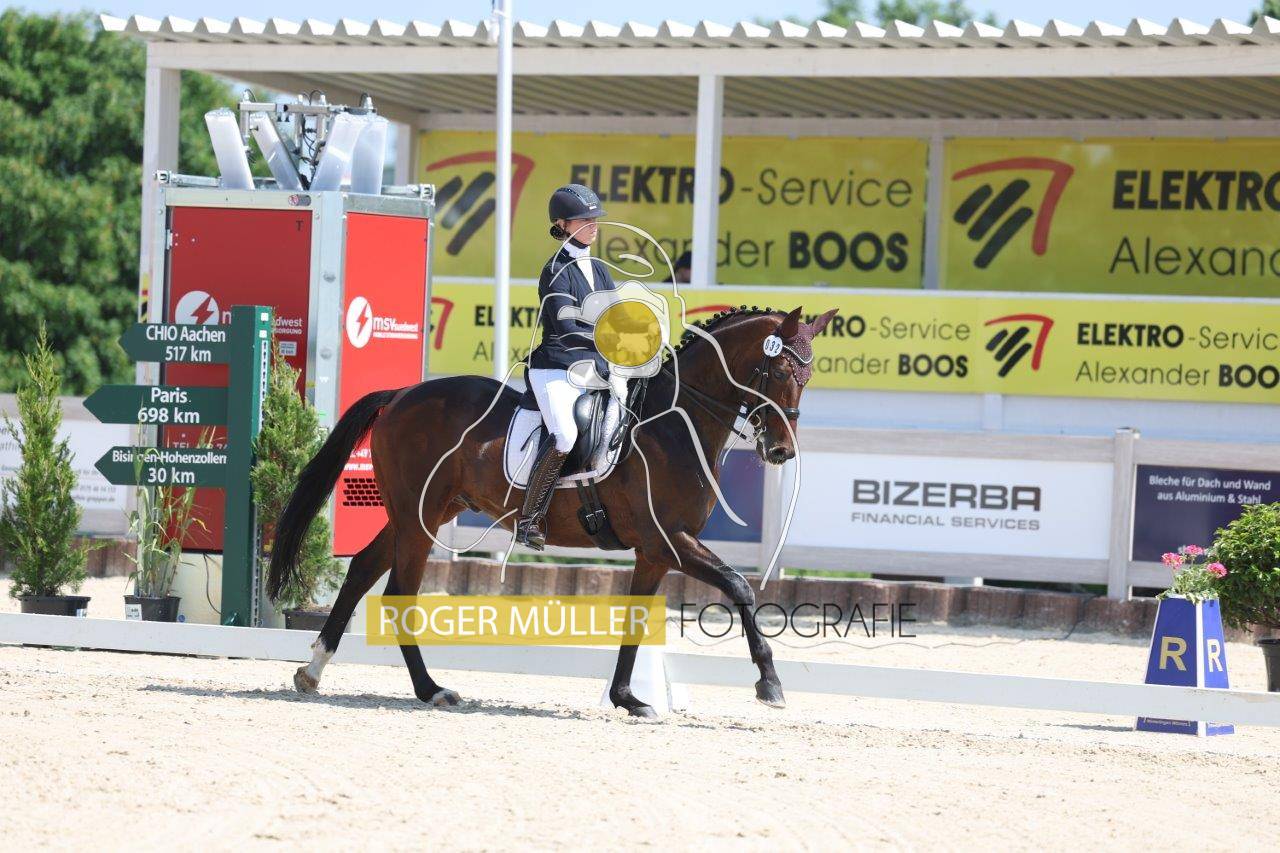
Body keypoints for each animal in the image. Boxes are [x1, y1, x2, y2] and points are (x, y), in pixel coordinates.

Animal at [268, 304, 838, 717]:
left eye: (808, 376)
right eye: (777, 369)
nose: (781, 452)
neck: (674, 424)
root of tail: (402, 394)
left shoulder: (655, 553)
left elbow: (635, 622)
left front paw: (627, 698)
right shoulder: (670, 541)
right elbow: (741, 587)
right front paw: (770, 684)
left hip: (419, 516)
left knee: (363, 568)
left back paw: (312, 671)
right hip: (421, 520)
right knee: (397, 593)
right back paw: (431, 690)